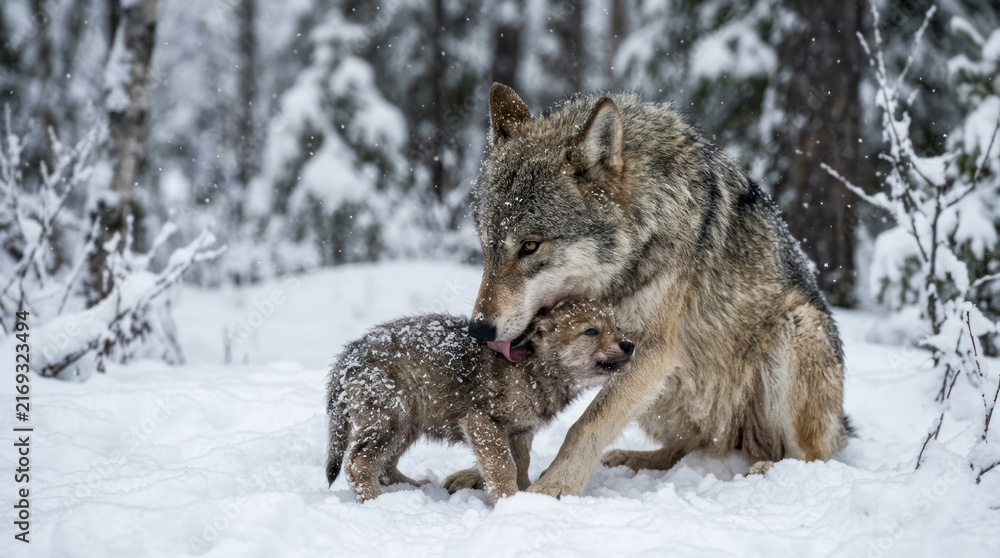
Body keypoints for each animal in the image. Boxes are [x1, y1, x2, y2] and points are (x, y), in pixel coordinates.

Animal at [326, 299, 633, 502]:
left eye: (616, 328)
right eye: (591, 331)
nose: (630, 345)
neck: (532, 366)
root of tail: (347, 357)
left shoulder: (519, 430)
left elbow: (521, 464)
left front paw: (524, 497)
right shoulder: (482, 421)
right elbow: (503, 465)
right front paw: (509, 501)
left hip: (407, 424)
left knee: (385, 466)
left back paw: (412, 488)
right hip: (389, 420)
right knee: (358, 464)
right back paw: (376, 501)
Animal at [450, 83, 849, 497]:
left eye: (530, 246)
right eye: (487, 247)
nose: (479, 330)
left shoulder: (651, 350)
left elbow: (586, 425)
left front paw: (553, 487)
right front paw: (488, 476)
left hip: (795, 329)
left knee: (811, 456)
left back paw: (769, 470)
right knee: (689, 448)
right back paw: (635, 459)